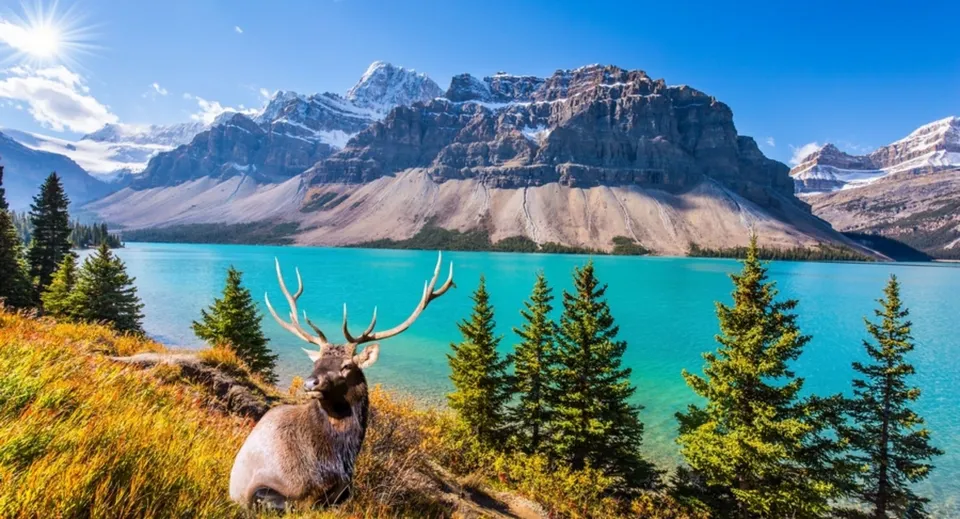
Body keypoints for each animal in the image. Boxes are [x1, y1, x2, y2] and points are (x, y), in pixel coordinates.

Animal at [229, 252, 454, 510]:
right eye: (316, 362)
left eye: (346, 366)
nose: (310, 383)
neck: (339, 457)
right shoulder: (265, 487)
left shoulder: (345, 488)